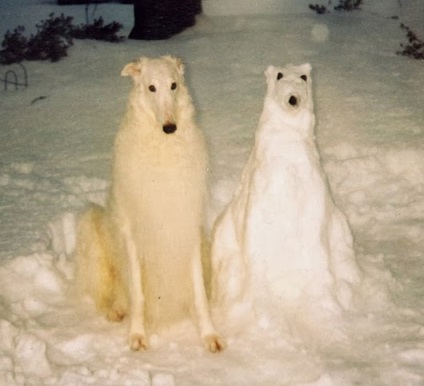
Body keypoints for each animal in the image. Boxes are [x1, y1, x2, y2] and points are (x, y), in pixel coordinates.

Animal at [75, 55, 225, 352]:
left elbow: (199, 294)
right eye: (151, 88)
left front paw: (208, 335)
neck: (162, 150)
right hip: (91, 224)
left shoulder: (186, 227)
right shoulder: (133, 234)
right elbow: (138, 294)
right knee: (112, 295)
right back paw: (116, 309)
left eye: (173, 85)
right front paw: (137, 335)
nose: (170, 128)